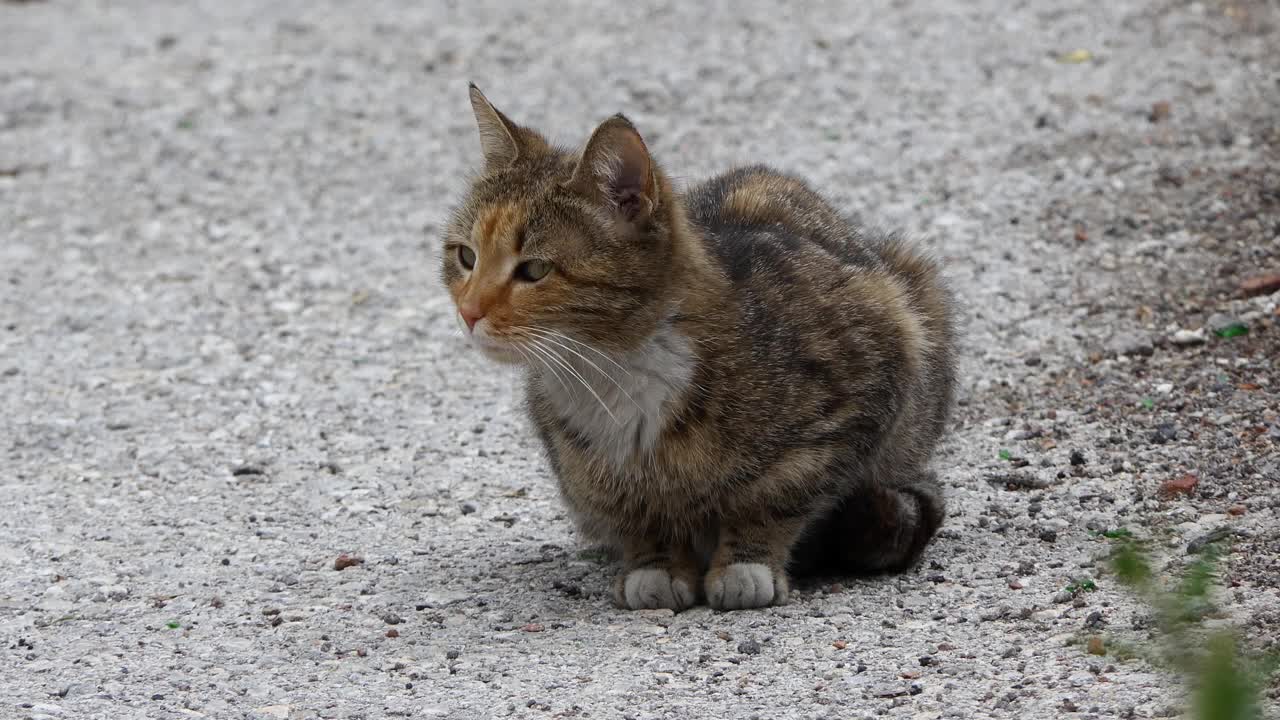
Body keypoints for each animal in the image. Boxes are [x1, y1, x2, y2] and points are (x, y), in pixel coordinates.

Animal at [445, 85, 957, 609]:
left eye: (534, 270)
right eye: (465, 256)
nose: (468, 311)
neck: (616, 370)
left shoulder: (869, 365)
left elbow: (775, 497)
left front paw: (746, 561)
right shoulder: (579, 459)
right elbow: (629, 509)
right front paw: (655, 563)